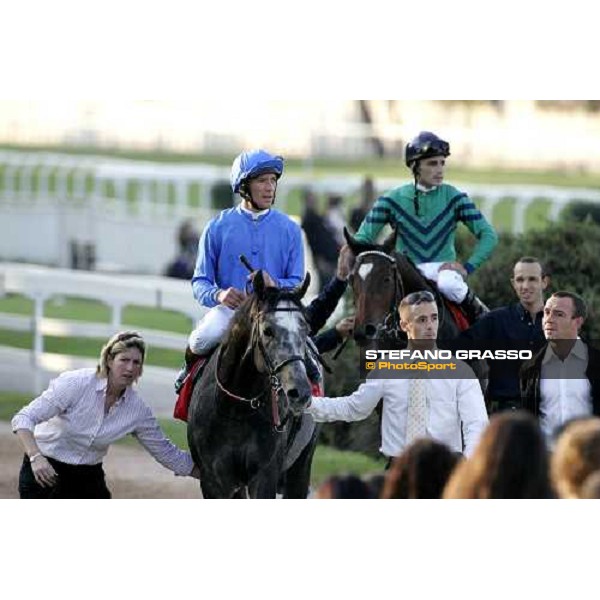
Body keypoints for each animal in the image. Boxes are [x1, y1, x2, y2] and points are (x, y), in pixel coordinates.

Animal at [188, 270, 318, 496]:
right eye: (267, 330)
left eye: (305, 330)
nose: (300, 392)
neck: (237, 408)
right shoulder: (212, 479)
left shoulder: (265, 474)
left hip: (301, 465)